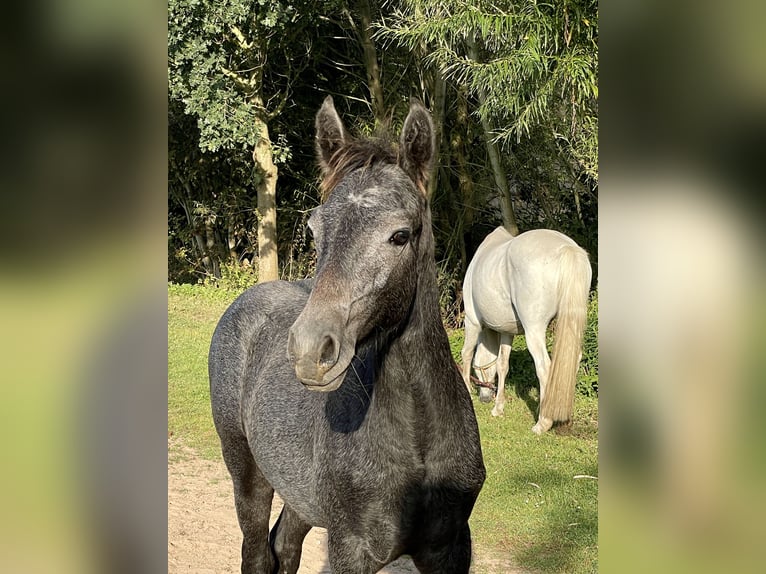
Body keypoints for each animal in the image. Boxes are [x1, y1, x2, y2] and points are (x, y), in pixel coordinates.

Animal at [210, 97, 486, 572]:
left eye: (400, 235)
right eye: (315, 229)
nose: (310, 350)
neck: (418, 444)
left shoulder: (451, 548)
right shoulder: (350, 548)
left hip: (299, 497)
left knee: (285, 546)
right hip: (246, 472)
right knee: (257, 554)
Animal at [462, 227, 592, 434]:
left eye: (478, 368)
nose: (484, 398)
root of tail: (566, 247)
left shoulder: (472, 321)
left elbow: (466, 354)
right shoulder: (507, 331)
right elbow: (502, 365)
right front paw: (498, 408)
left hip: (534, 330)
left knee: (544, 367)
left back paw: (543, 423)